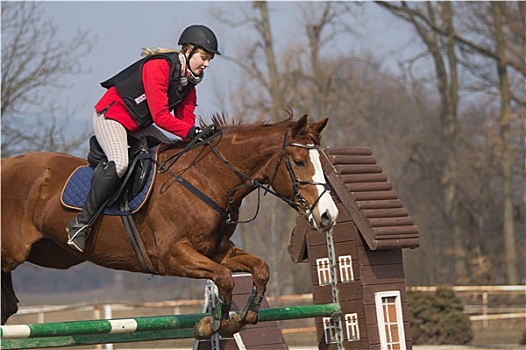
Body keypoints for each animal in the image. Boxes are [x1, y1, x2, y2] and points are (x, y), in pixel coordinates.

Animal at [0, 113, 338, 338]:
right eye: (298, 162)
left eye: (322, 161)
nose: (328, 216)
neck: (207, 178)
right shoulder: (172, 255)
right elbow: (225, 278)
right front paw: (215, 322)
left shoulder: (216, 250)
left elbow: (260, 268)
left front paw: (243, 316)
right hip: (12, 253)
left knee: (9, 306)